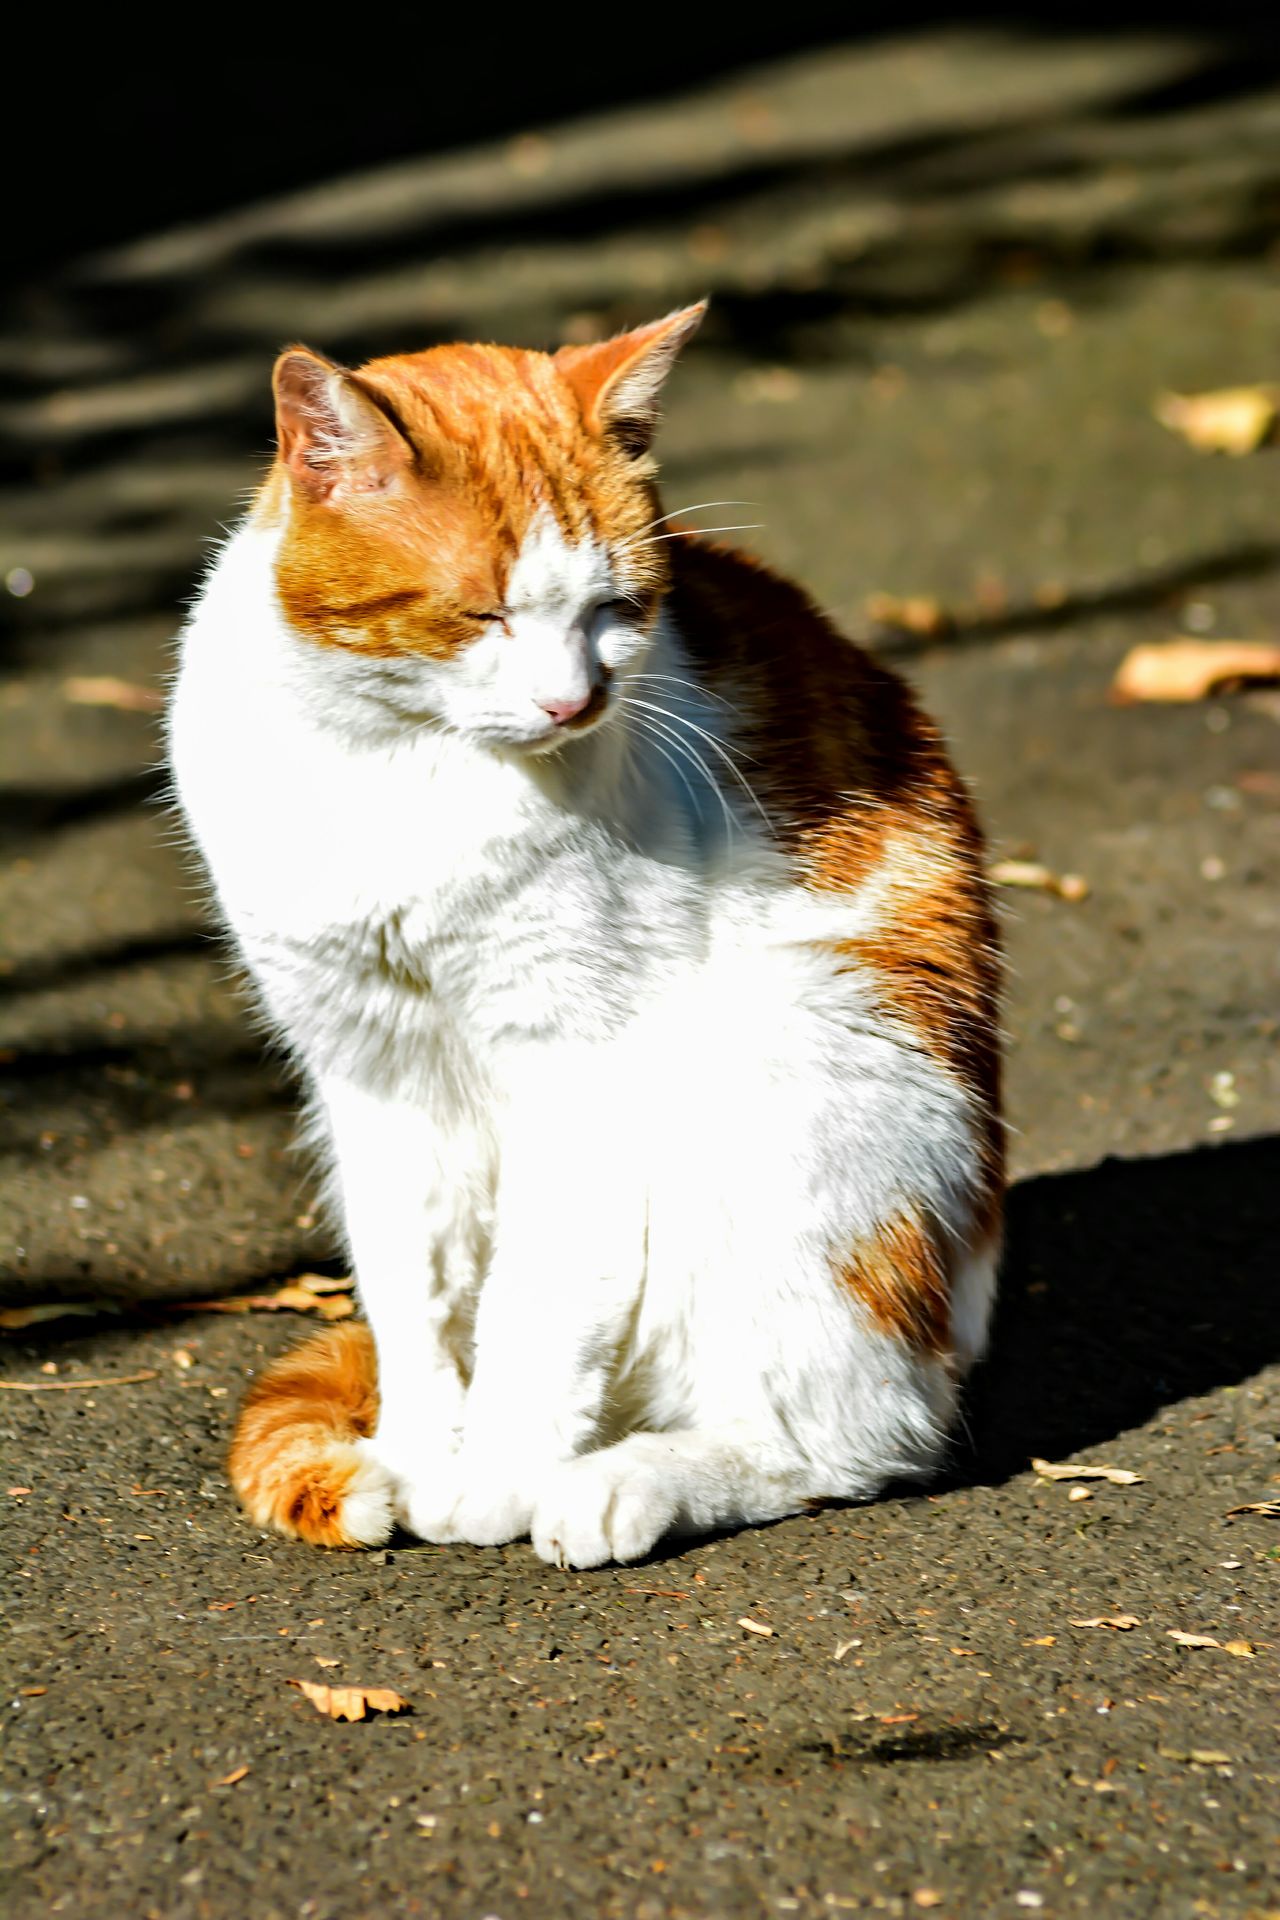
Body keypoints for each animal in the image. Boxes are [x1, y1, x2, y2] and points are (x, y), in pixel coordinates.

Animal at [167, 307, 997, 1566]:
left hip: (793, 1073)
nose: (574, 704)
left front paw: (493, 1480)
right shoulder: (375, 1079)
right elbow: (413, 1302)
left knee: (848, 1443)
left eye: (615, 610)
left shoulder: (577, 1068)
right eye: (482, 613)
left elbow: (535, 1304)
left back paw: (622, 1483)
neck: (399, 768)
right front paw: (423, 1454)